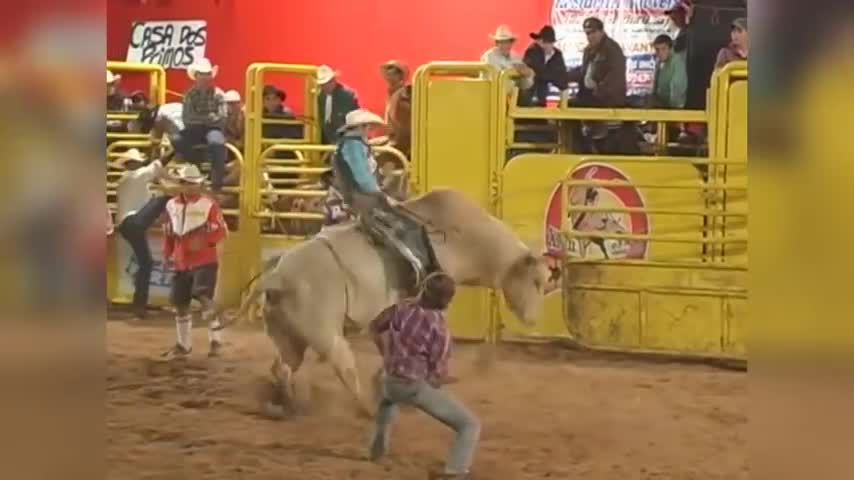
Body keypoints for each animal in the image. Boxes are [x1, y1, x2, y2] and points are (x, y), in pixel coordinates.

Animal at [229, 188, 548, 416]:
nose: (533, 320)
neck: (462, 237)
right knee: (343, 366)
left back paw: (284, 404)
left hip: (288, 335)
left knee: (282, 367)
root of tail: (277, 277)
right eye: (537, 281)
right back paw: (366, 408)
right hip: (325, 334)